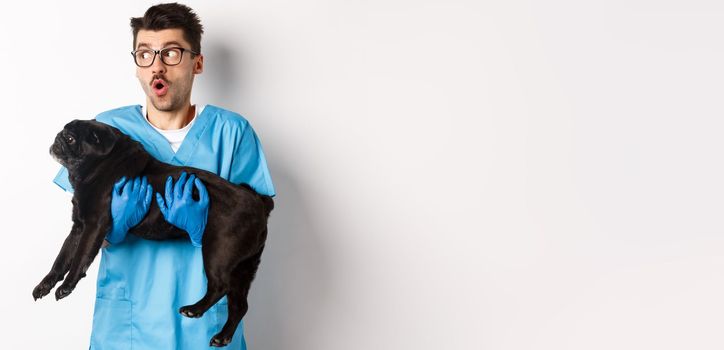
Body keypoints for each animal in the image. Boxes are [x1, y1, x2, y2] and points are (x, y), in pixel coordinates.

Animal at [31, 119, 274, 346]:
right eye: (63, 133)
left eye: (71, 139)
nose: (58, 137)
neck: (100, 165)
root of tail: (258, 202)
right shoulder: (78, 228)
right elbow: (61, 259)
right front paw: (45, 284)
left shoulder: (93, 227)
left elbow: (79, 258)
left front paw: (66, 286)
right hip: (244, 267)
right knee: (239, 305)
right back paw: (223, 337)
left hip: (218, 252)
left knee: (220, 286)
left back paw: (195, 309)